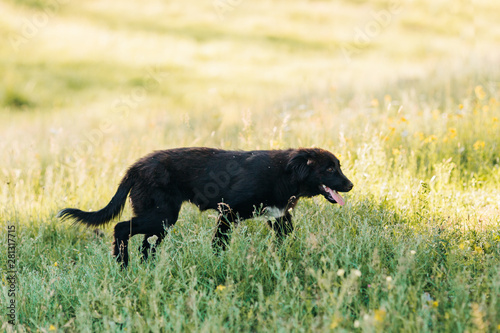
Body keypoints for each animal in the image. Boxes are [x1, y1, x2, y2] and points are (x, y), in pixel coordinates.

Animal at [57, 147, 352, 266]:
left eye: (337, 166)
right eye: (329, 169)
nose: (350, 185)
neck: (284, 173)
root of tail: (135, 167)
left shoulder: (279, 218)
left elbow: (286, 243)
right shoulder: (228, 211)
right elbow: (219, 244)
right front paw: (218, 265)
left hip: (159, 221)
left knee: (145, 246)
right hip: (162, 215)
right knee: (120, 229)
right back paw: (123, 266)